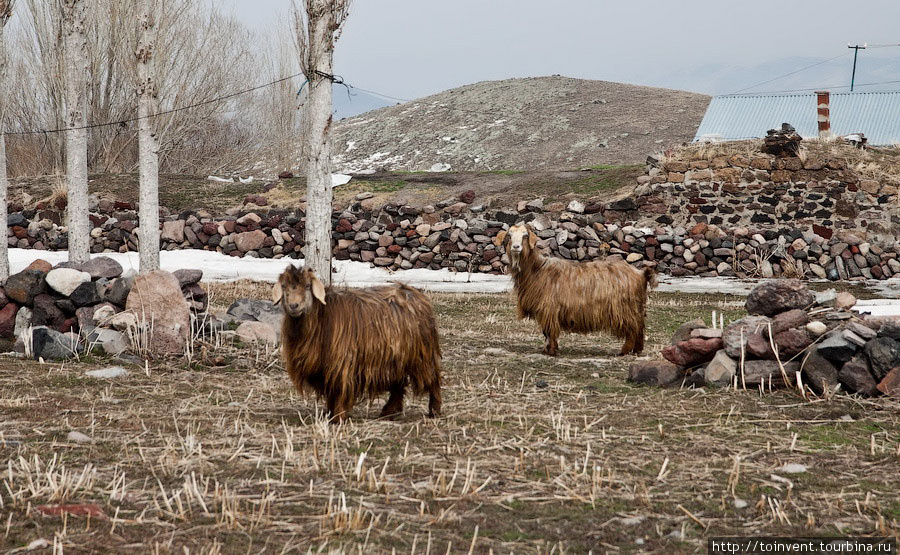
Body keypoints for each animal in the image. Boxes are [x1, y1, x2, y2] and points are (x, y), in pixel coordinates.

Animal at [274, 268, 442, 424]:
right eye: (284, 286)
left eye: (308, 285)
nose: (294, 306)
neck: (322, 317)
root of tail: (417, 295)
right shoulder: (325, 368)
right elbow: (331, 392)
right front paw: (330, 414)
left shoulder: (342, 363)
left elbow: (340, 389)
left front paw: (339, 417)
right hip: (397, 357)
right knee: (398, 383)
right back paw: (389, 412)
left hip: (422, 355)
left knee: (433, 379)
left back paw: (434, 410)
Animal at [496, 223, 656, 356]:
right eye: (509, 236)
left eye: (525, 236)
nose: (516, 247)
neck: (538, 269)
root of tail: (641, 274)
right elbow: (547, 331)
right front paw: (549, 349)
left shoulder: (549, 308)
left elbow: (549, 331)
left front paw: (551, 351)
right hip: (635, 308)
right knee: (640, 328)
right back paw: (637, 350)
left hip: (625, 309)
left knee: (633, 329)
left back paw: (624, 351)